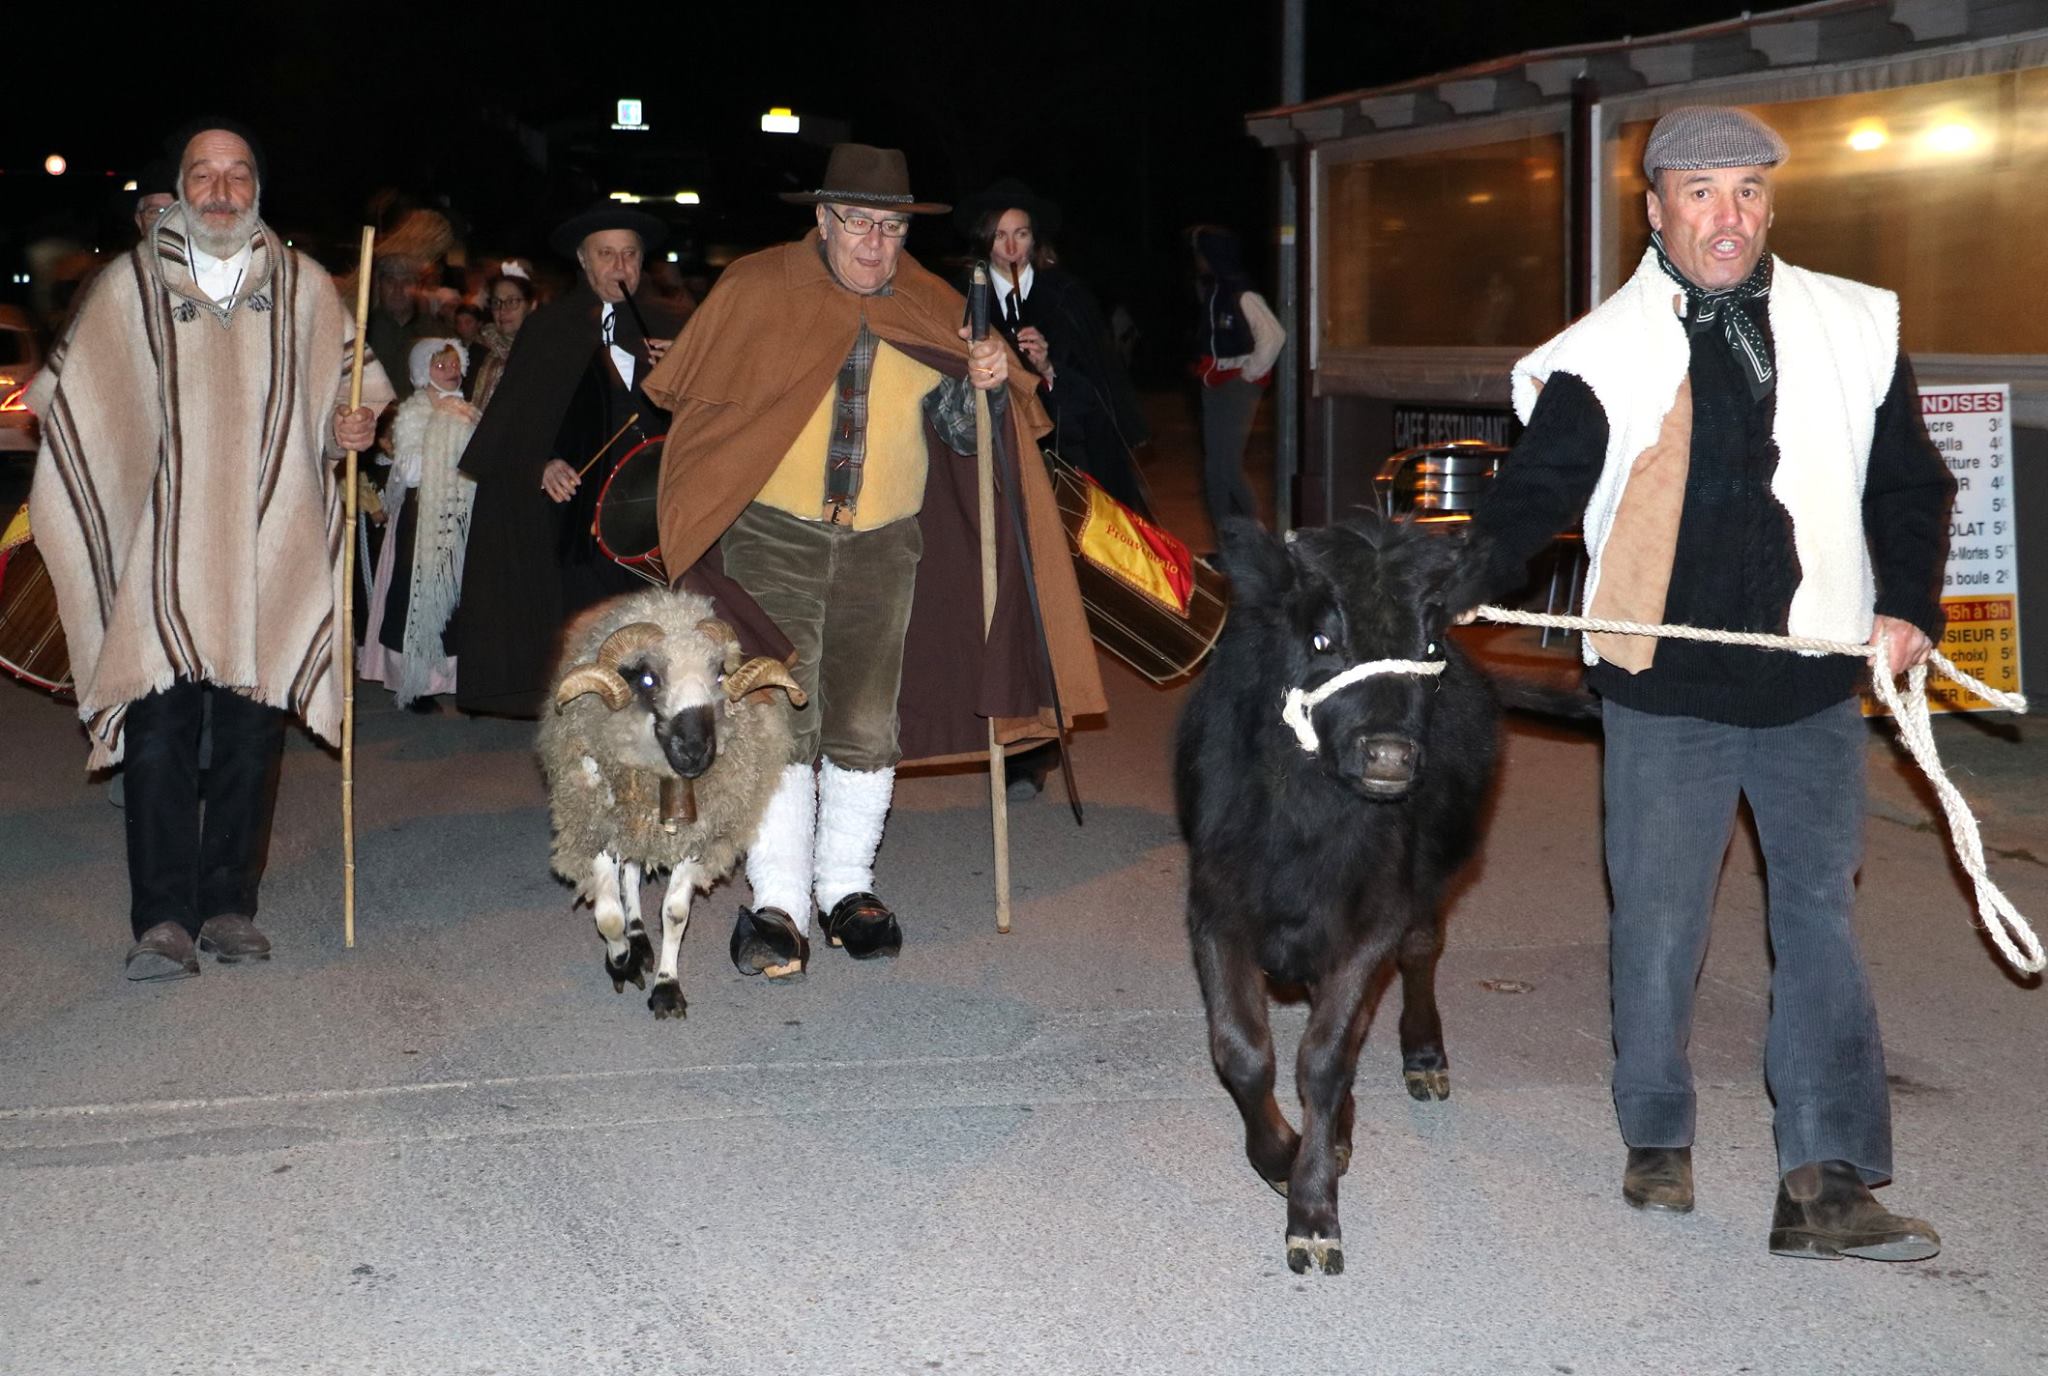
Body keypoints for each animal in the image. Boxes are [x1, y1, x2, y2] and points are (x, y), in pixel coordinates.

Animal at [1179, 516, 1499, 1277]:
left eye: (1430, 646)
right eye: (1323, 640)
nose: (1388, 756)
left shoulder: (1371, 924)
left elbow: (1323, 1060)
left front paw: (1314, 1208)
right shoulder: (1215, 909)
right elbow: (1242, 1051)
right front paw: (1280, 1156)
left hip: (1431, 881)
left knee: (1419, 955)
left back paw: (1424, 1059)